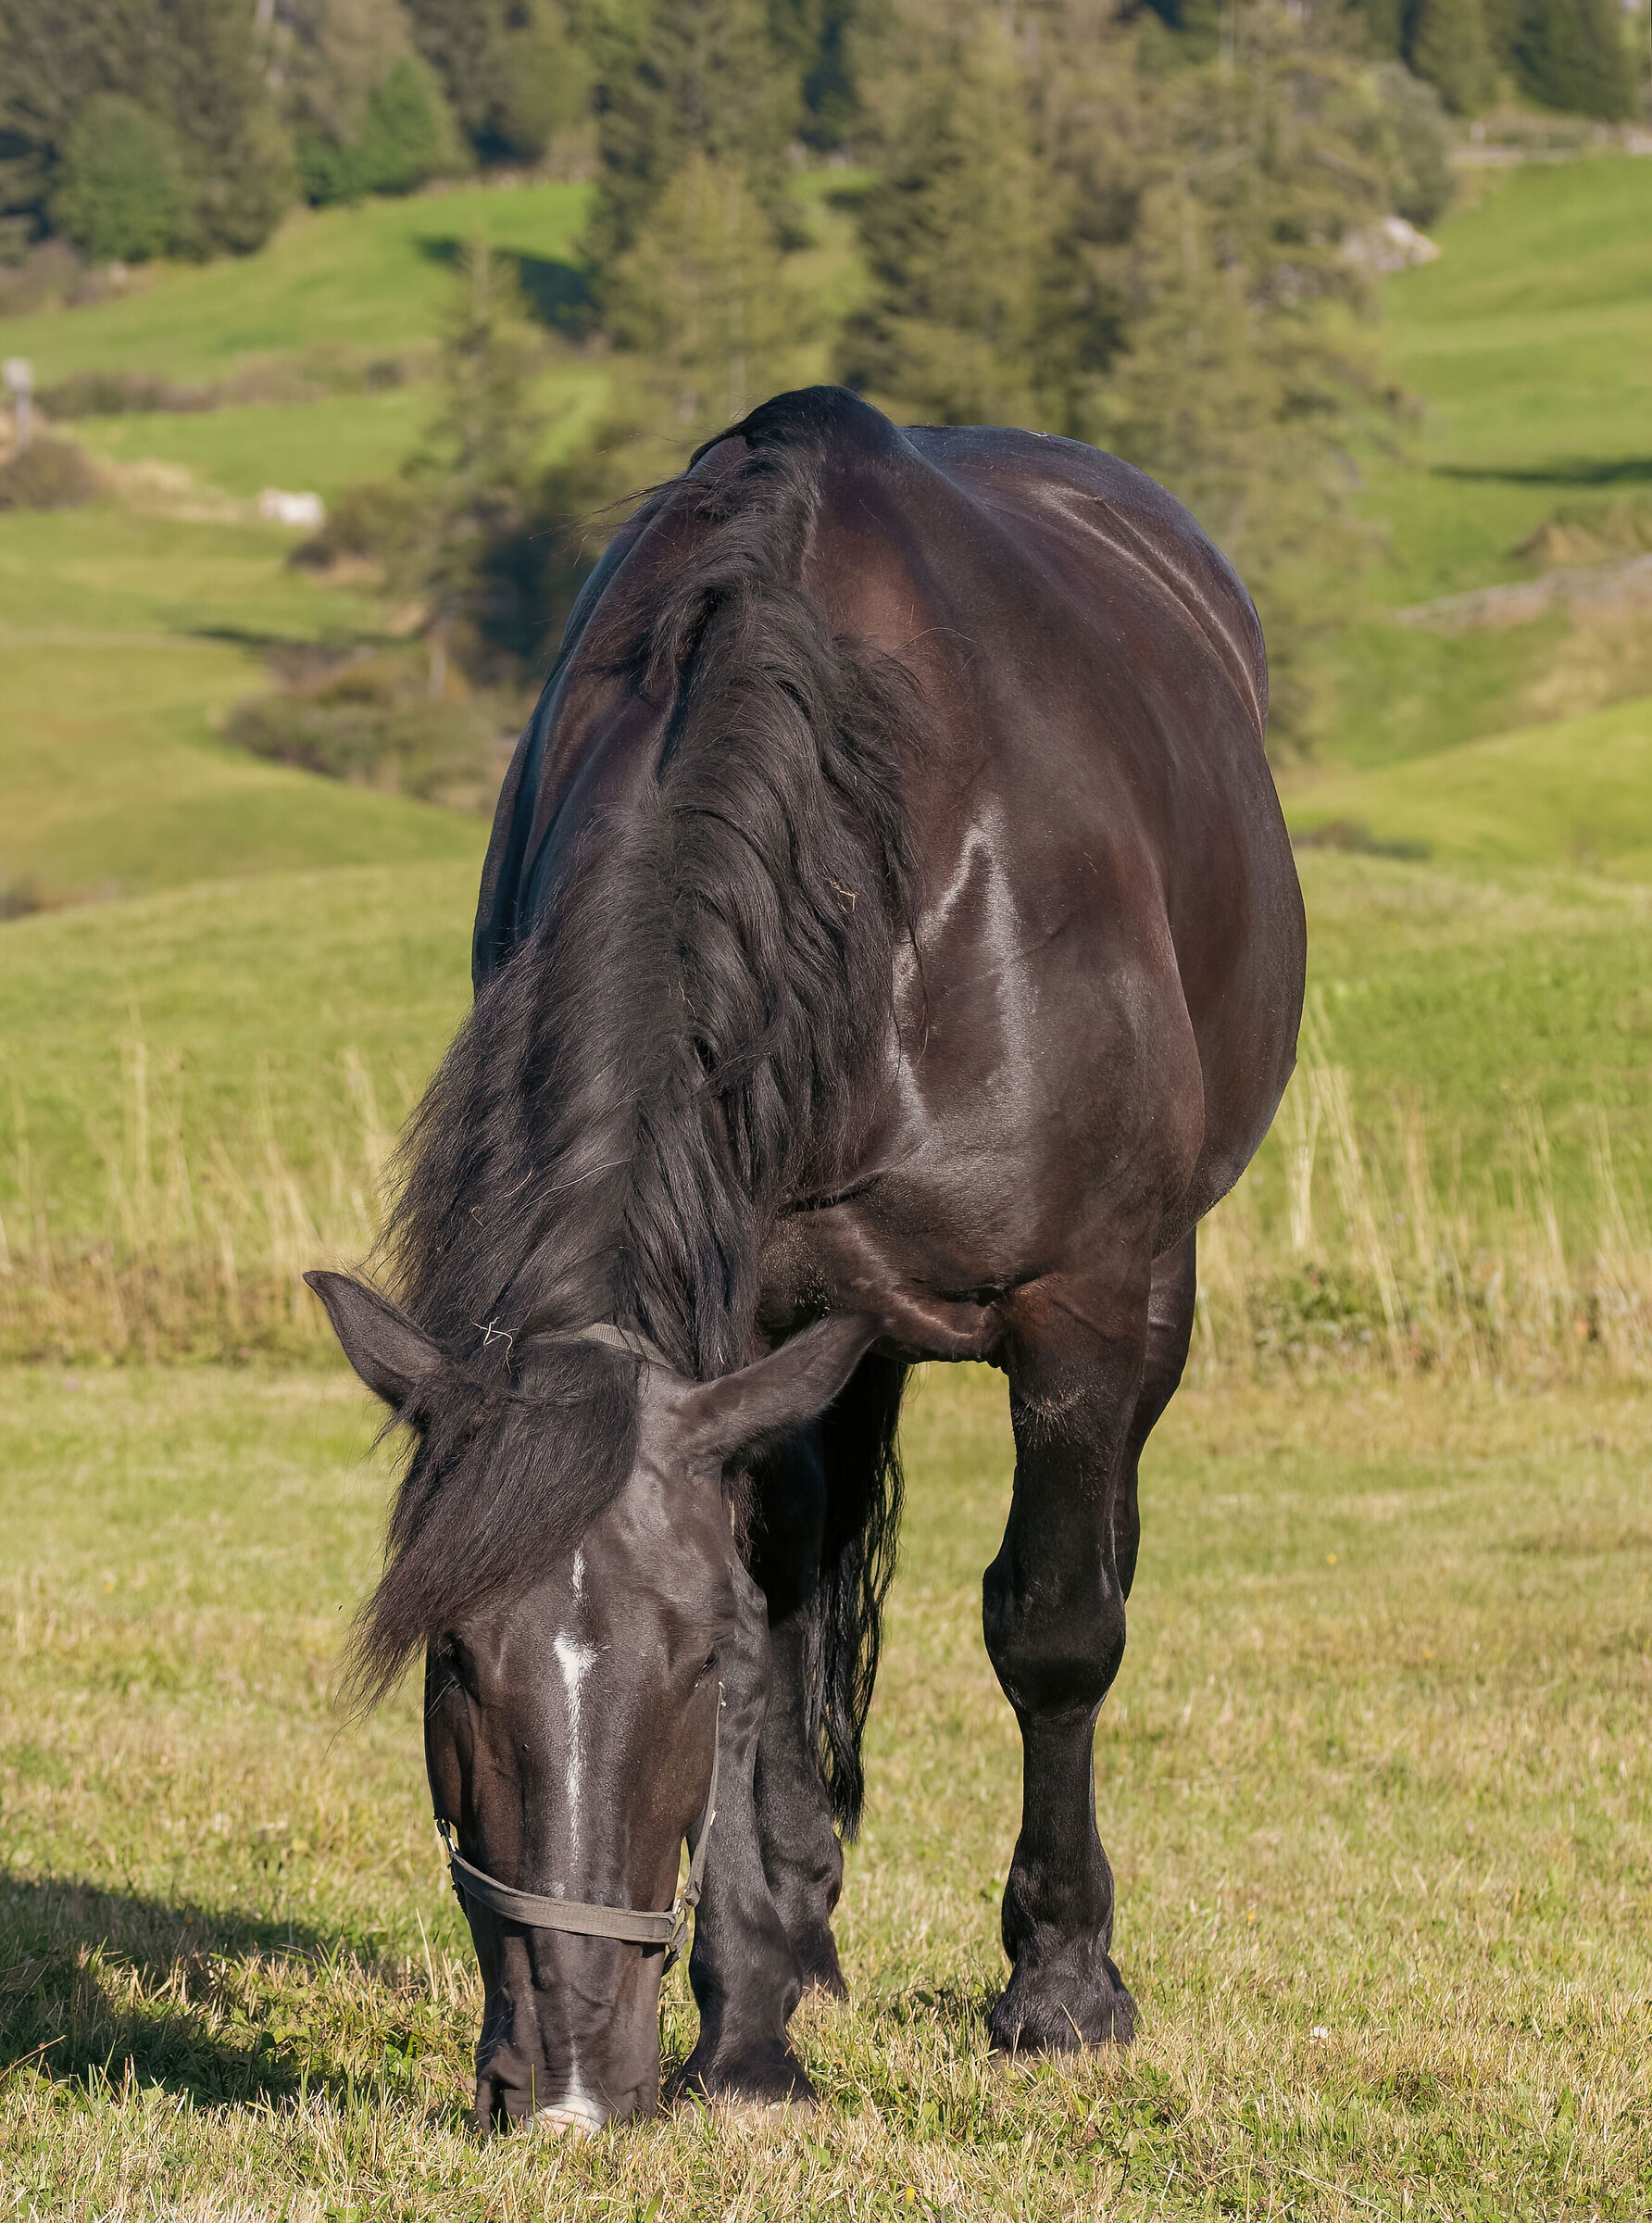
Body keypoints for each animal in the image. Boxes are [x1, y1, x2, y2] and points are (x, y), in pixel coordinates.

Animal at [307, 385, 1305, 2133]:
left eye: (681, 1662)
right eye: (449, 1662)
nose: (569, 2088)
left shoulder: (1087, 1310)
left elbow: (1052, 1626)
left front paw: (1062, 1989)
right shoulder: (756, 1326)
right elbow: (786, 1656)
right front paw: (752, 2025)